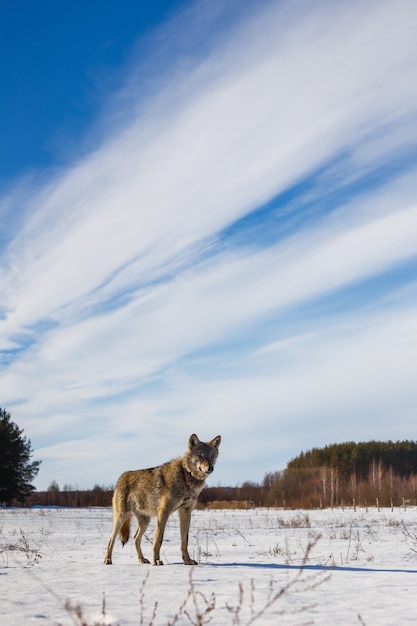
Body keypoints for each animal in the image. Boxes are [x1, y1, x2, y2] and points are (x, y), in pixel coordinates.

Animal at [103, 432, 221, 564]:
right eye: (200, 455)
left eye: (212, 456)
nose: (210, 468)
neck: (185, 476)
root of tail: (121, 477)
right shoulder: (163, 512)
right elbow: (158, 539)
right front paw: (156, 560)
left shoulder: (186, 512)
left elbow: (184, 540)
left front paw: (187, 561)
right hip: (121, 517)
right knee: (111, 539)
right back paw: (107, 559)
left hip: (145, 521)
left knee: (135, 538)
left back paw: (142, 559)